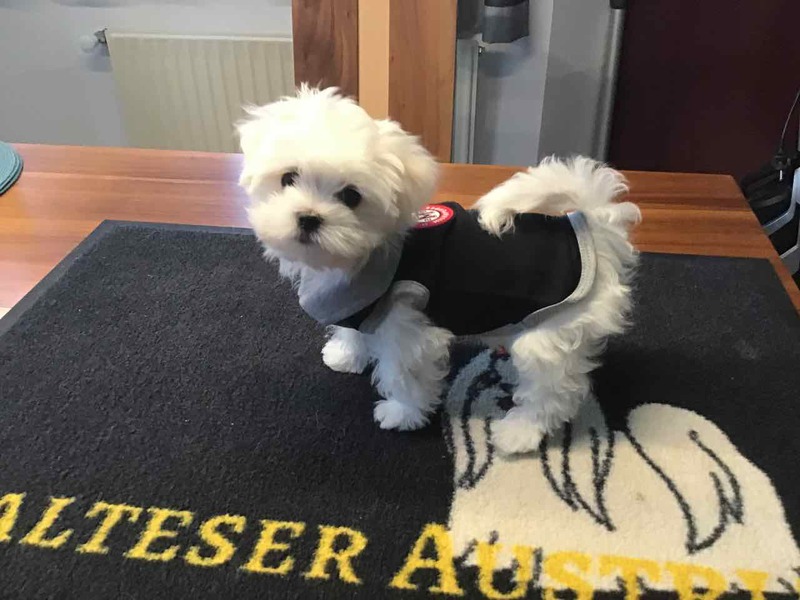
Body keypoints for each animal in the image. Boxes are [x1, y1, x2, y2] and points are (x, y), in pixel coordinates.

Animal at [237, 86, 640, 455]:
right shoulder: (356, 301)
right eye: (288, 178)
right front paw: (347, 354)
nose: (308, 217)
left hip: (553, 330)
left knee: (554, 389)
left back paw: (521, 432)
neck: (367, 253)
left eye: (351, 196)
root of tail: (592, 231)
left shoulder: (406, 320)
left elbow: (405, 371)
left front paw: (403, 413)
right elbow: (355, 329)